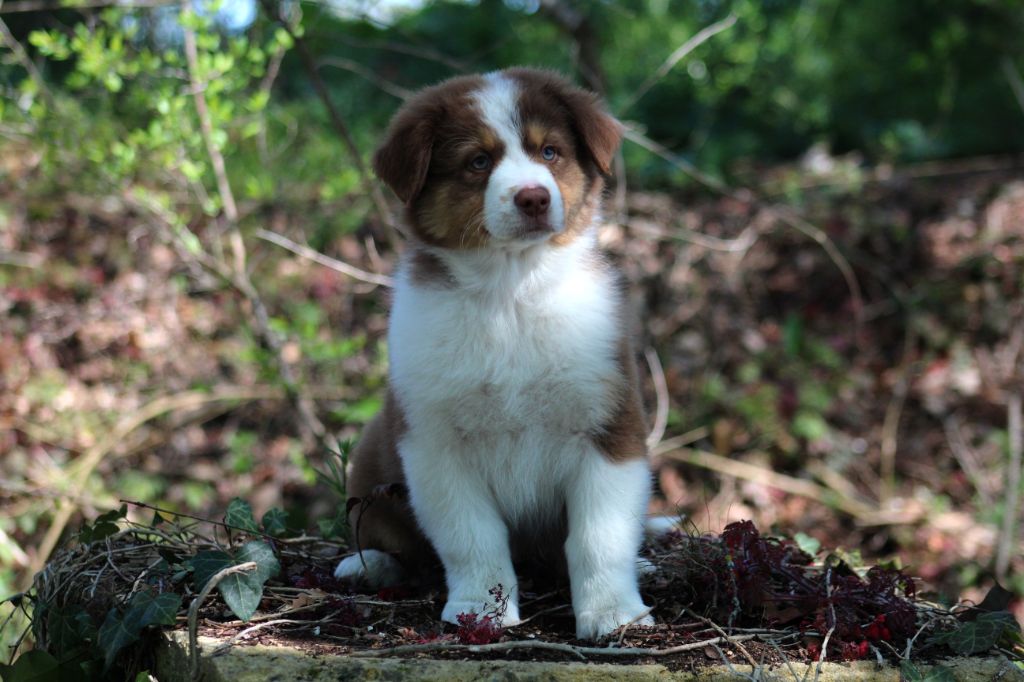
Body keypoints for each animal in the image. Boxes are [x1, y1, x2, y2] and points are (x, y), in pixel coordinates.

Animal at [334, 68, 653, 640]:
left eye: (550, 151)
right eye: (478, 162)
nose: (533, 198)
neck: (512, 292)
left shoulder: (609, 422)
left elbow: (600, 534)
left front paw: (613, 614)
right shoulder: (435, 439)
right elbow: (471, 535)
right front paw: (481, 610)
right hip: (372, 450)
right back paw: (369, 566)